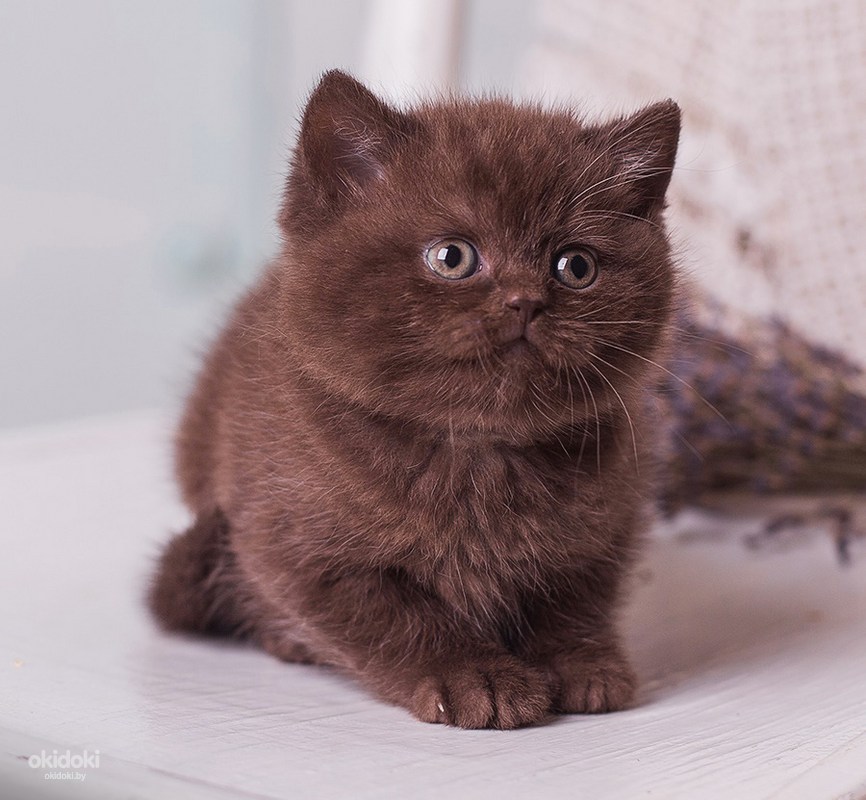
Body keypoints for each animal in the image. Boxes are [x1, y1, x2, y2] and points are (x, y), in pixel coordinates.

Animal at [148, 72, 680, 728]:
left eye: (576, 266)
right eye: (453, 256)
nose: (526, 301)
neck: (479, 451)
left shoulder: (610, 519)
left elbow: (573, 597)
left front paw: (581, 662)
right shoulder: (292, 539)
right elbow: (395, 616)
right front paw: (475, 677)